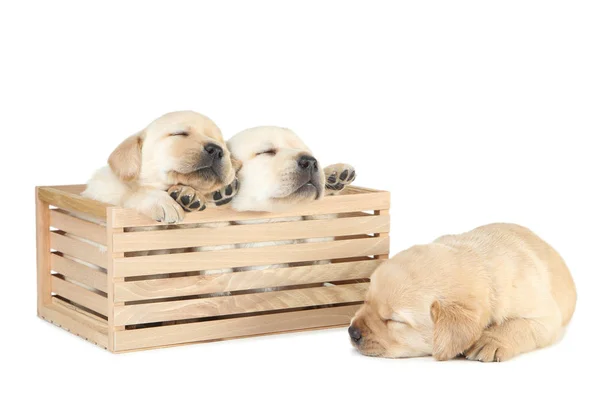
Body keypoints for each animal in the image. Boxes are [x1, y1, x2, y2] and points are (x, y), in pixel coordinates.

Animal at [350, 223, 580, 360]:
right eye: (366, 301)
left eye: (393, 320)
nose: (352, 332)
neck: (478, 263)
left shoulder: (545, 315)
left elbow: (518, 325)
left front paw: (489, 341)